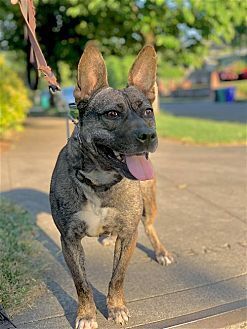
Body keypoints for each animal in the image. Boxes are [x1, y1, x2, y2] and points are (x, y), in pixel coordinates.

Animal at [49, 42, 174, 326]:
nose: (148, 135)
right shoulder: (69, 240)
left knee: (149, 227)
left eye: (148, 111)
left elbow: (117, 277)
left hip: (149, 203)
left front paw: (116, 308)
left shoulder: (128, 235)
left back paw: (160, 252)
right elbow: (82, 284)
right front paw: (86, 315)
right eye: (112, 114)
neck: (100, 181)